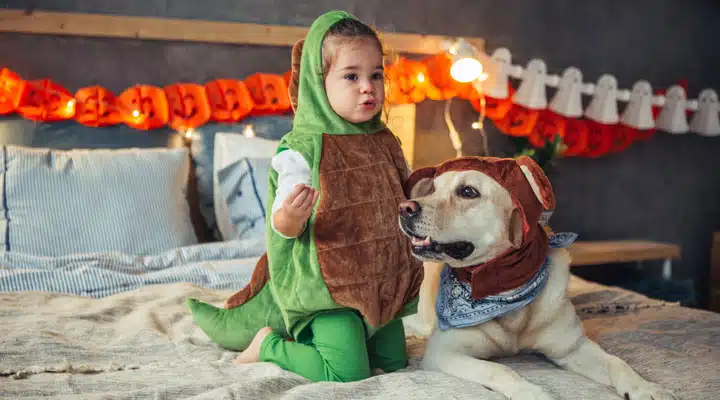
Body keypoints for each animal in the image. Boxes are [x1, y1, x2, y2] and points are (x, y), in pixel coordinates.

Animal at [400, 155, 676, 398]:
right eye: (432, 189)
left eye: (468, 192)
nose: (405, 207)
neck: (506, 287)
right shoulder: (444, 352)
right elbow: (499, 369)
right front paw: (531, 392)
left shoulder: (573, 347)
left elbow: (617, 362)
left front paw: (646, 388)